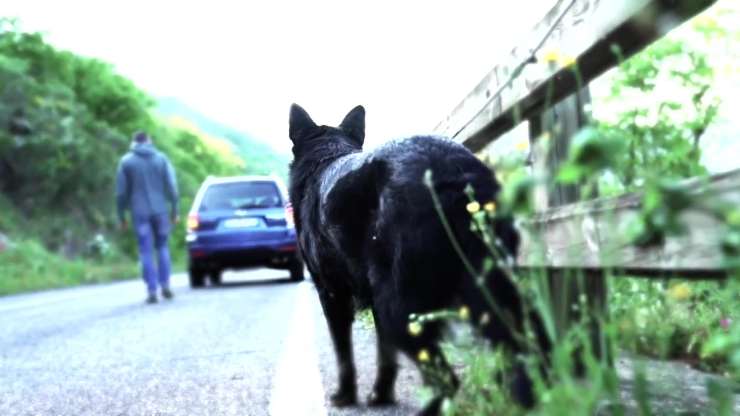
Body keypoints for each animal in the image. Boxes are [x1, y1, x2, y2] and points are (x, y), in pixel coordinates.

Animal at [290, 103, 548, 412]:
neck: (327, 156)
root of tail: (451, 169)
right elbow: (385, 356)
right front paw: (381, 395)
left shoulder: (332, 295)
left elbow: (344, 354)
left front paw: (346, 396)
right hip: (484, 287)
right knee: (531, 340)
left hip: (398, 309)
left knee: (447, 379)